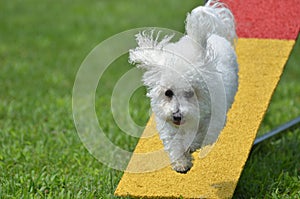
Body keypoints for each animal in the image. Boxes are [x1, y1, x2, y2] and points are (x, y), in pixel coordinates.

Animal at [129, 0, 239, 173]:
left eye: (190, 93)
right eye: (168, 92)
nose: (177, 116)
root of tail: (215, 35)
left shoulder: (211, 121)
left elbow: (199, 137)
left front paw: (191, 147)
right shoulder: (169, 127)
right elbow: (175, 145)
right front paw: (181, 163)